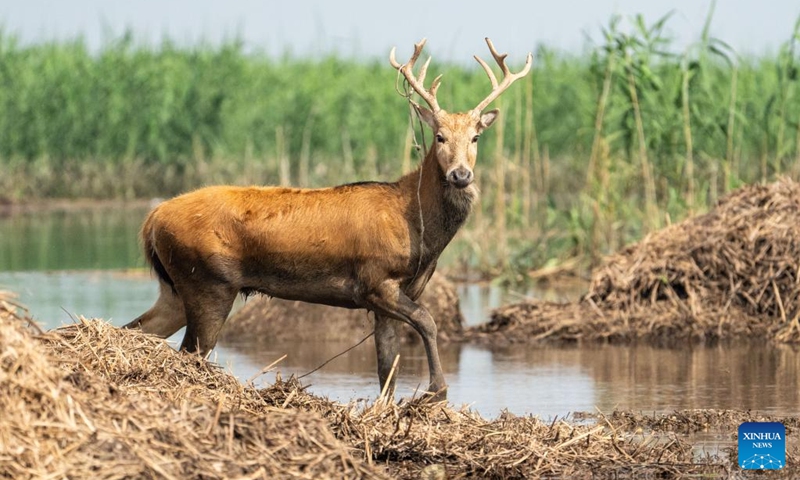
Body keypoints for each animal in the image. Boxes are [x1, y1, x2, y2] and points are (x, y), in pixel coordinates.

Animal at [124, 38, 531, 400]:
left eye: (476, 138)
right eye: (440, 136)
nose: (461, 175)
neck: (420, 230)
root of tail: (151, 220)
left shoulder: (388, 296)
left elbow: (387, 368)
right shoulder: (375, 279)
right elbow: (427, 324)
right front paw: (436, 392)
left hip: (177, 287)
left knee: (139, 328)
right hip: (208, 281)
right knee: (189, 351)